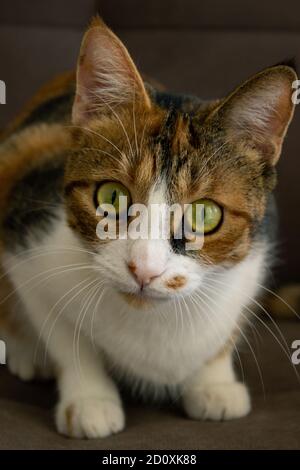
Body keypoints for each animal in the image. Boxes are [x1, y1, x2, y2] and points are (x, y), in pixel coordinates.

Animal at [0, 15, 296, 440]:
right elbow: (64, 335)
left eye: (205, 214)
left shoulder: (255, 260)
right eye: (111, 196)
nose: (144, 269)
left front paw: (215, 383)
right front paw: (90, 398)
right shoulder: (28, 234)